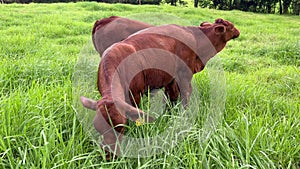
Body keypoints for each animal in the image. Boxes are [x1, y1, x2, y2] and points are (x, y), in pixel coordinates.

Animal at [81, 18, 240, 160]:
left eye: (121, 128)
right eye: (97, 128)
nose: (108, 155)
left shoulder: (135, 95)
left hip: (184, 74)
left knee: (184, 94)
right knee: (173, 95)